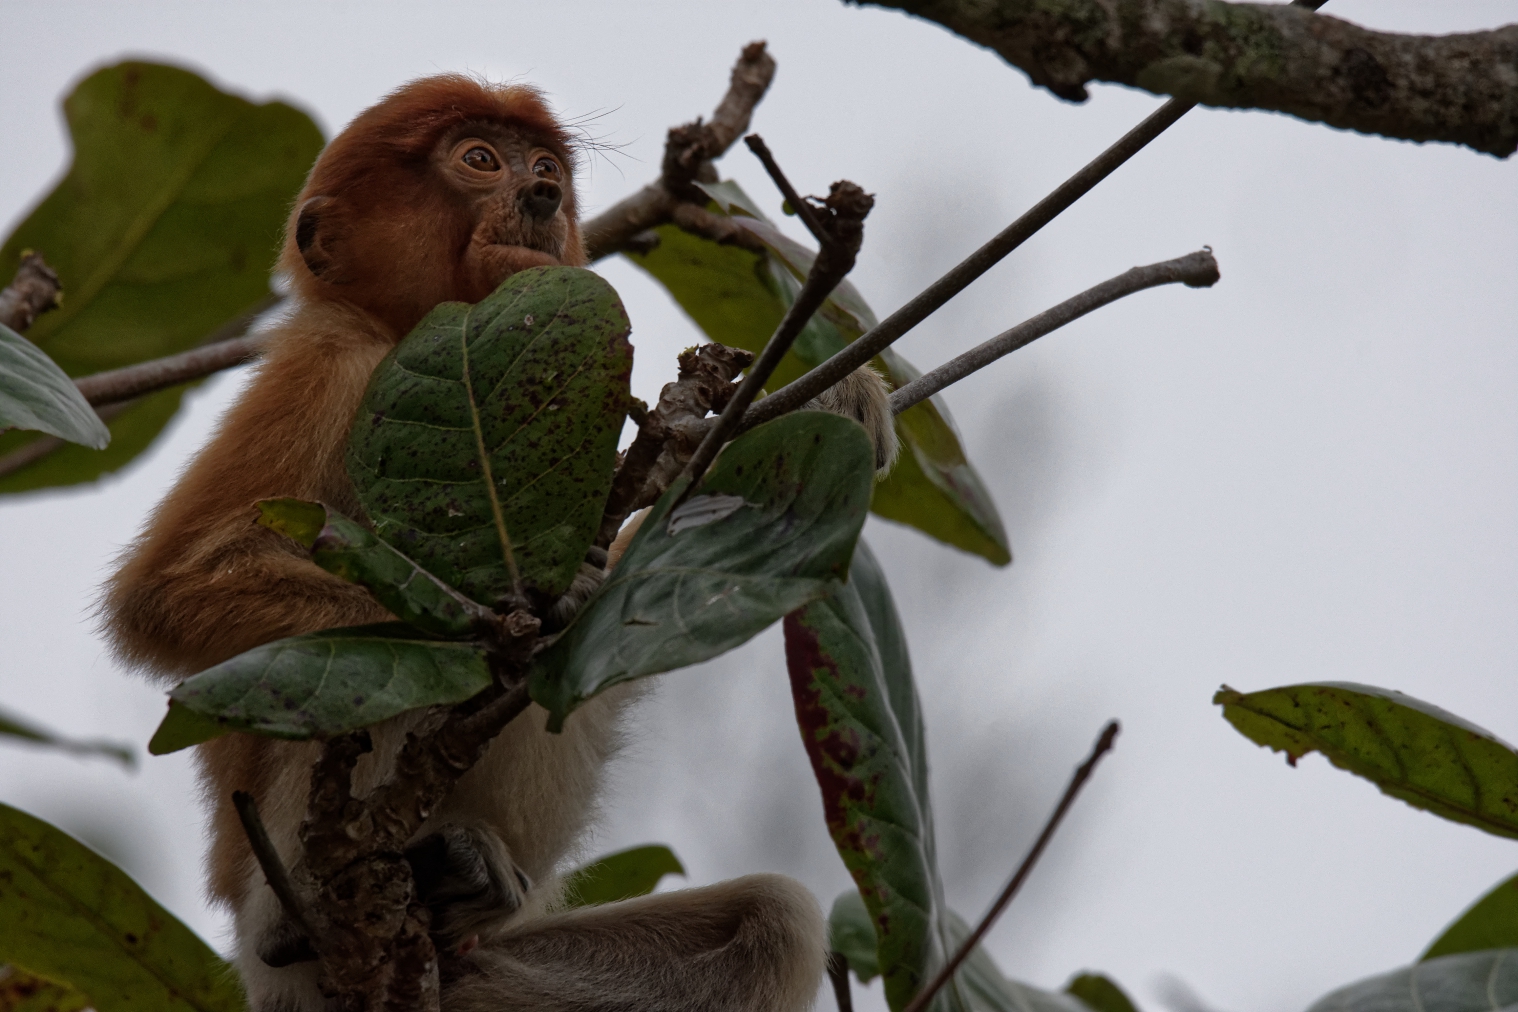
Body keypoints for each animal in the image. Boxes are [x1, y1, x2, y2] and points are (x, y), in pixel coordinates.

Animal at [102, 74, 893, 1012]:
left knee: (773, 924)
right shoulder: (332, 362)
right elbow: (165, 591)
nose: (542, 197)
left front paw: (838, 400)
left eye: (545, 166)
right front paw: (523, 615)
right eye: (480, 160)